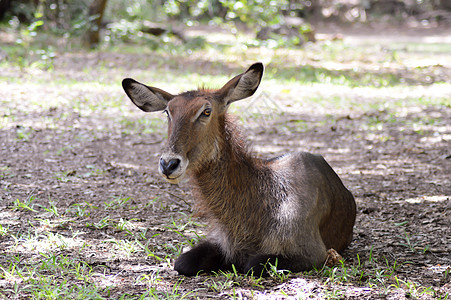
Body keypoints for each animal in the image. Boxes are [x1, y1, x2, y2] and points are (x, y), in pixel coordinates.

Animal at [122, 63, 356, 276]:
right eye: (167, 112)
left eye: (206, 111)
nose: (169, 163)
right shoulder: (220, 241)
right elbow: (182, 262)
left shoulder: (312, 252)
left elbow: (251, 264)